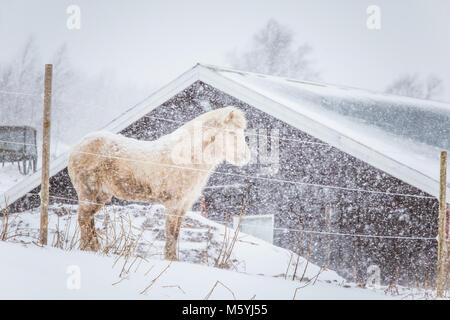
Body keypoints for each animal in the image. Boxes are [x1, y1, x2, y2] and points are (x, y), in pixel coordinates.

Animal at [68, 107, 251, 260]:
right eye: (231, 133)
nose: (245, 157)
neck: (186, 157)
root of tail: (78, 145)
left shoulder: (183, 205)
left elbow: (176, 233)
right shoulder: (173, 204)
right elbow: (170, 232)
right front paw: (170, 259)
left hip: (101, 195)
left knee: (88, 220)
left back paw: (94, 248)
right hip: (88, 191)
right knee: (83, 220)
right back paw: (88, 250)